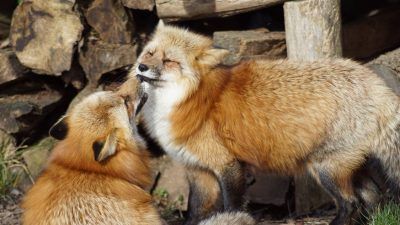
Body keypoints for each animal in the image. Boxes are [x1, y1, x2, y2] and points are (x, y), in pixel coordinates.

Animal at [133, 21, 400, 225]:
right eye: (150, 53)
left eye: (169, 61)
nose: (141, 67)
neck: (186, 98)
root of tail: (376, 83)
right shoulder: (198, 171)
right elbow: (194, 213)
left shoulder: (228, 165)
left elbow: (232, 206)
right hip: (349, 165)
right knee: (374, 197)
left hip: (325, 168)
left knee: (350, 203)